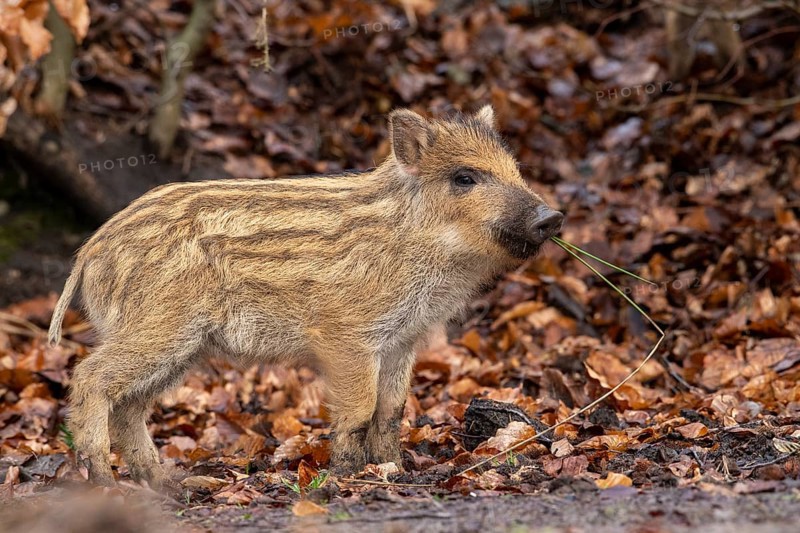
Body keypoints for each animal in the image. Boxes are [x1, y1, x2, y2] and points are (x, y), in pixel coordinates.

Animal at [48, 106, 564, 486]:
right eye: (464, 178)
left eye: (514, 168)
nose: (552, 217)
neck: (419, 246)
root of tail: (91, 250)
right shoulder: (346, 334)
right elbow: (360, 408)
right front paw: (347, 476)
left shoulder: (403, 339)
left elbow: (392, 409)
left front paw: (394, 471)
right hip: (160, 325)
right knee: (90, 376)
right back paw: (104, 480)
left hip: (183, 345)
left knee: (129, 406)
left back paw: (167, 484)